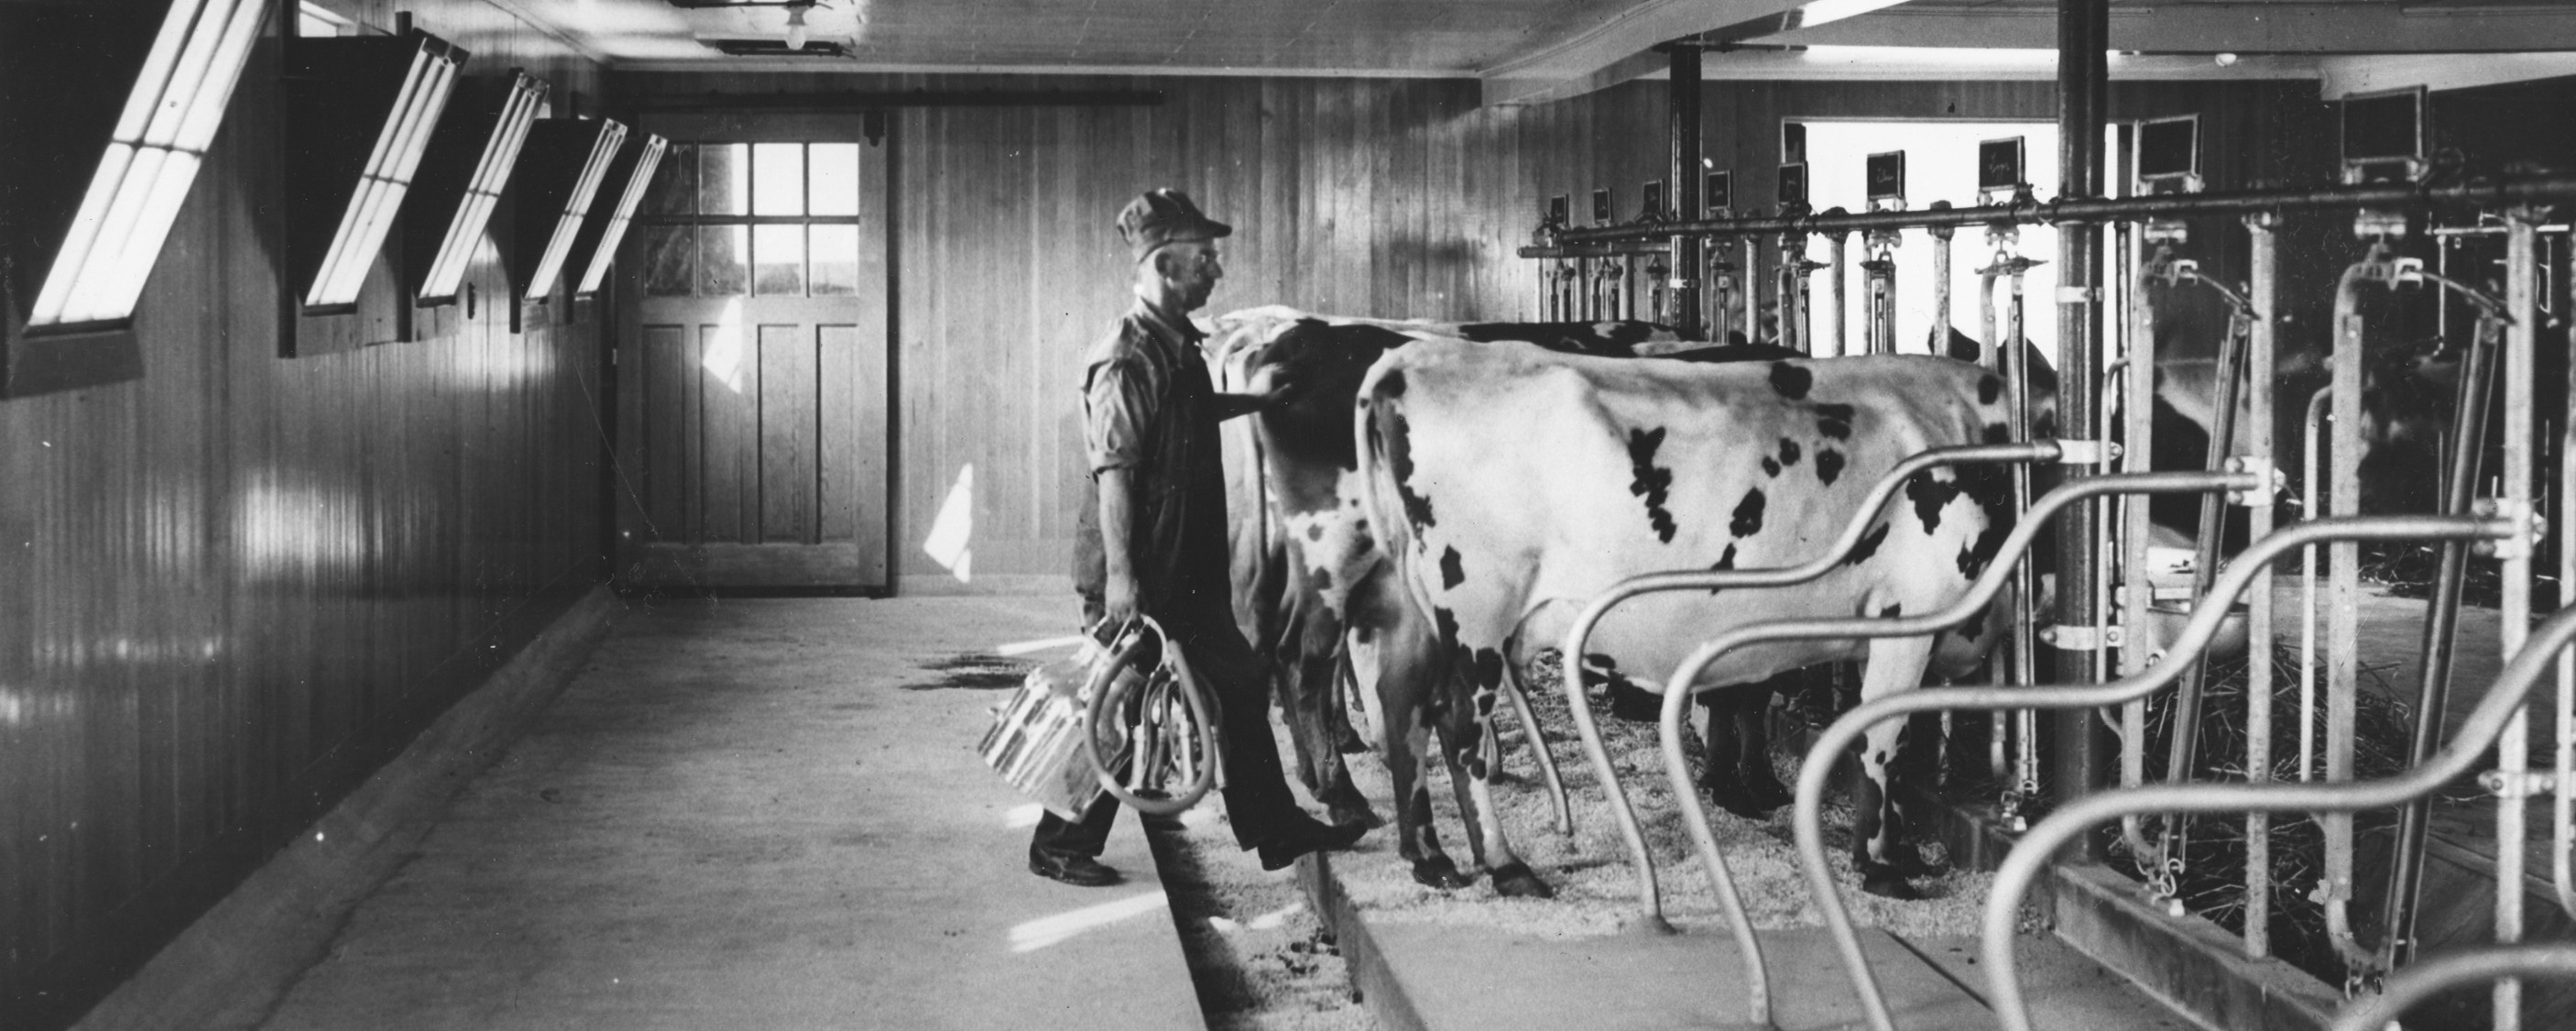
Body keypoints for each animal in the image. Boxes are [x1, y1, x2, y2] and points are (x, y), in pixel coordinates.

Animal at [1359, 340, 2019, 902]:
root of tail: (1412, 360)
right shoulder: (1910, 613)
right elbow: (1885, 743)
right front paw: (1882, 866)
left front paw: (1901, 853)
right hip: (1476, 612)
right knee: (1456, 722)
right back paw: (1504, 864)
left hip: (1417, 610)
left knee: (1401, 702)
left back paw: (1429, 857)